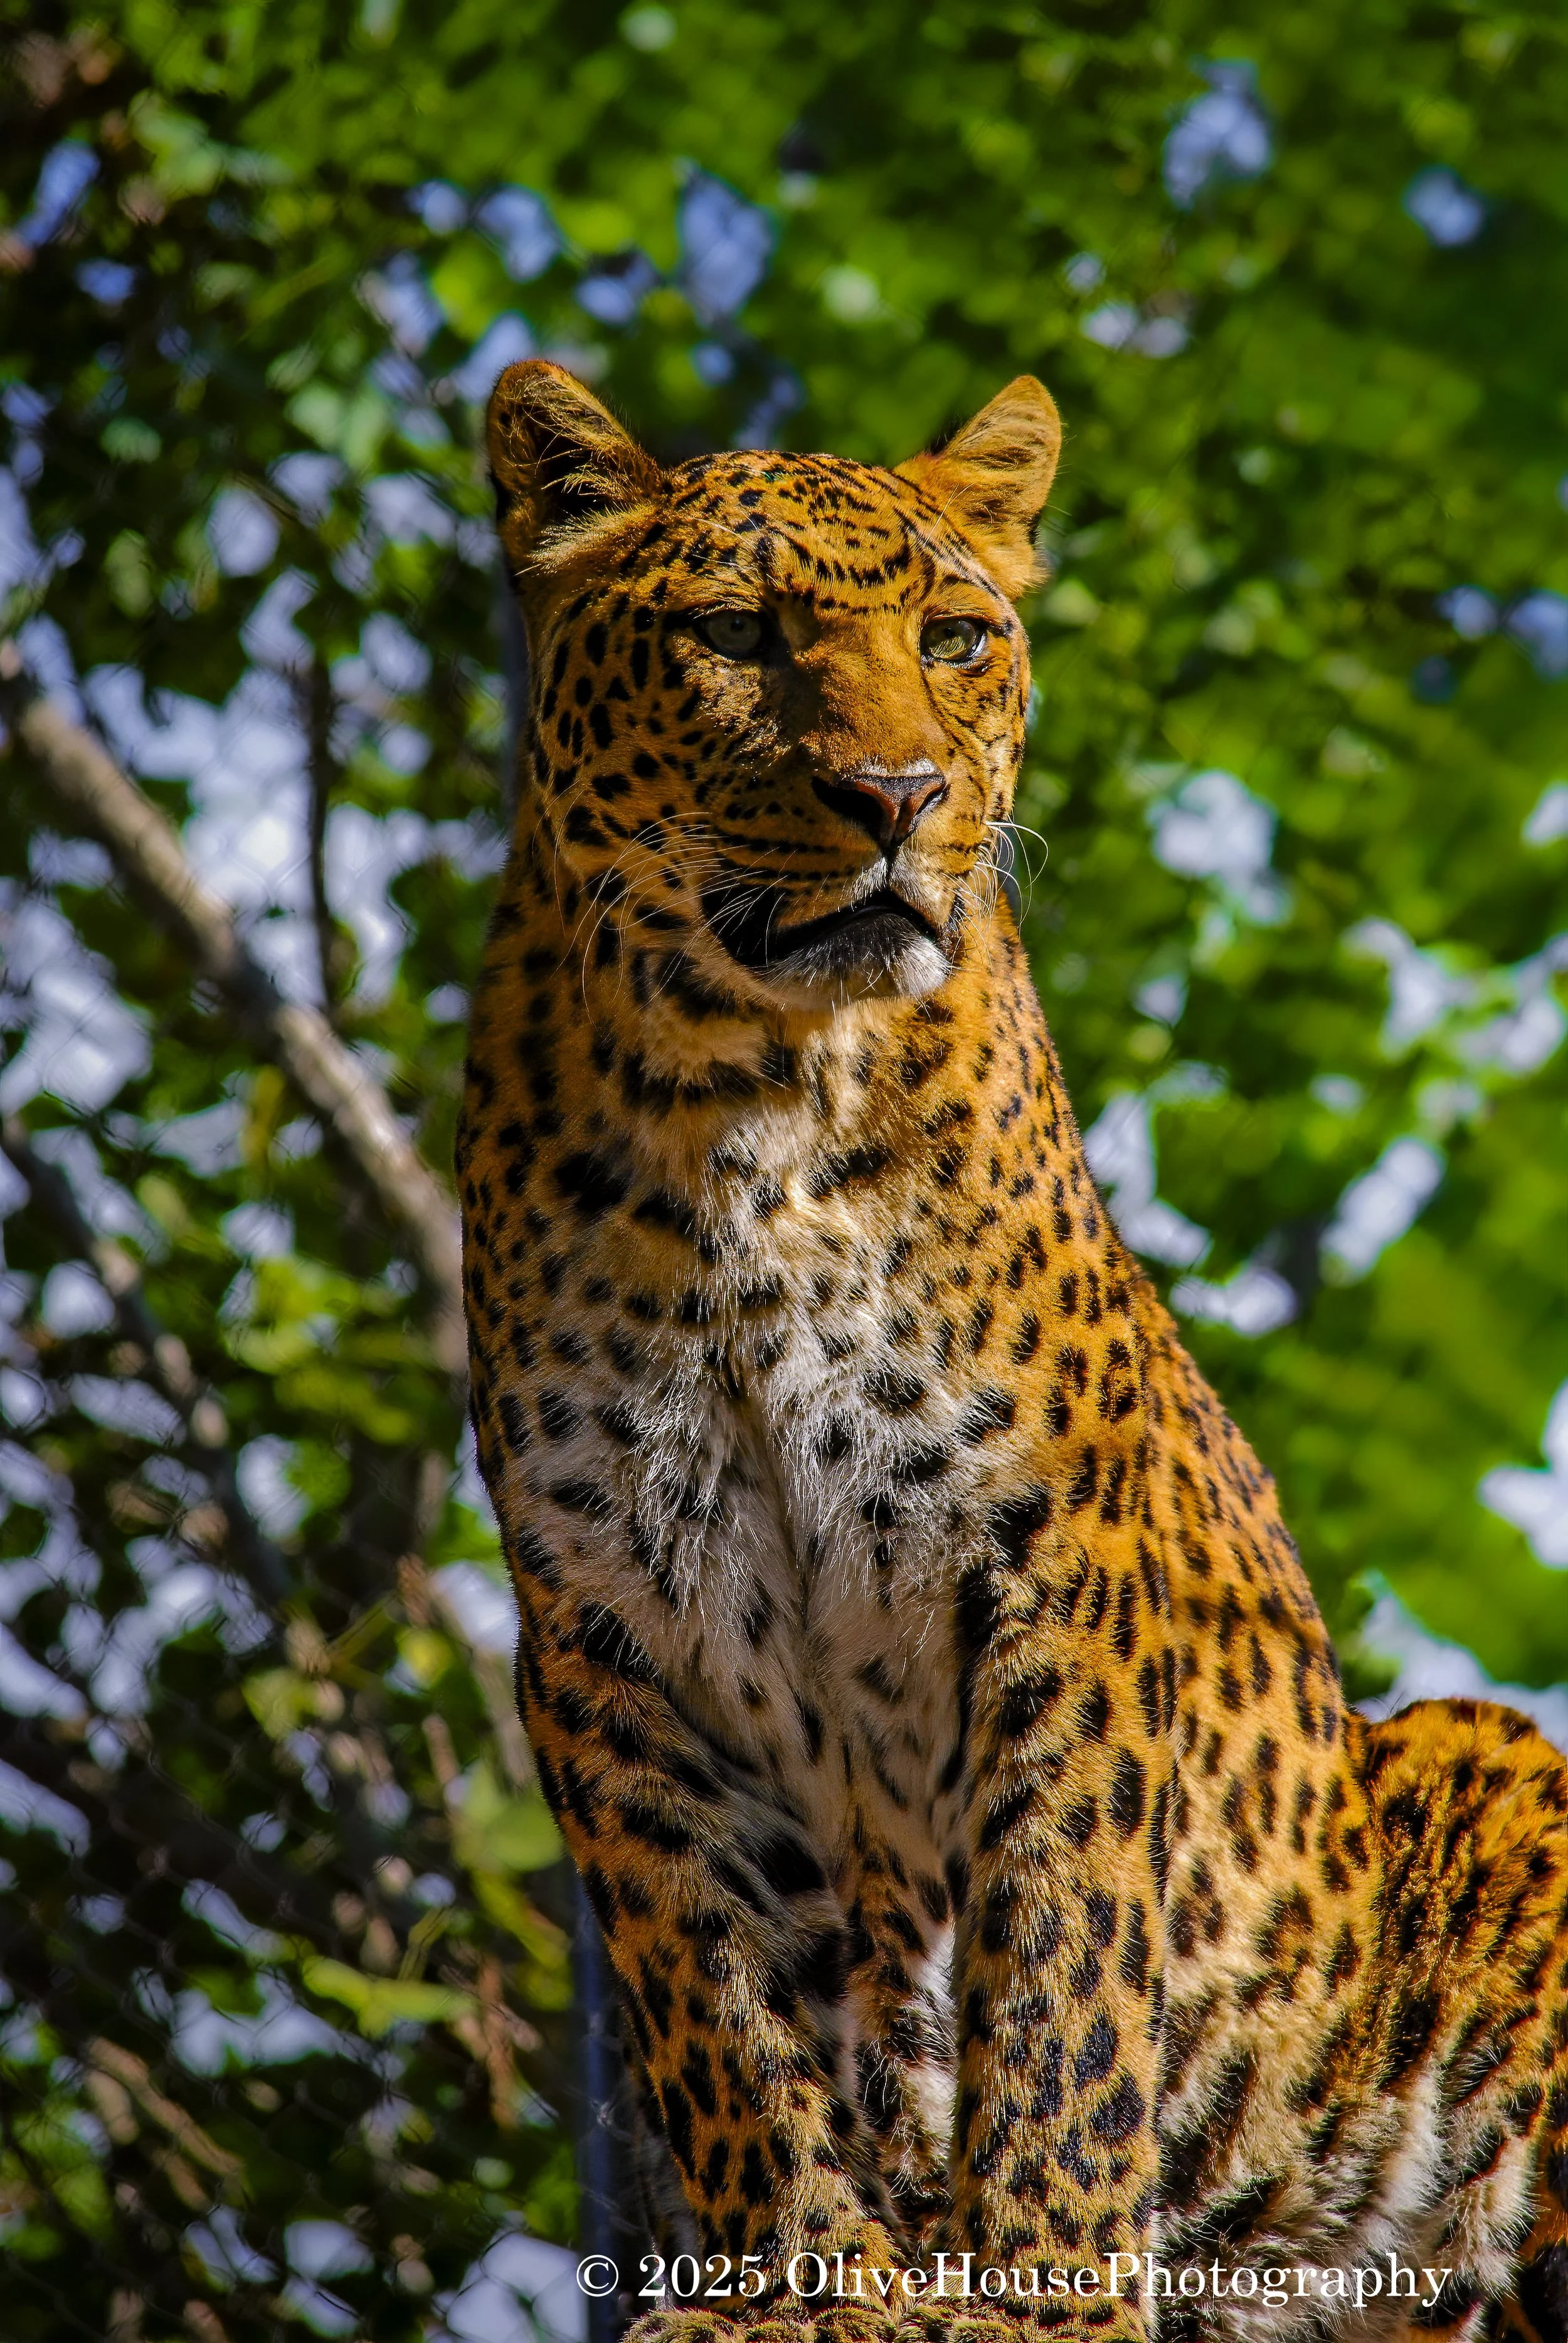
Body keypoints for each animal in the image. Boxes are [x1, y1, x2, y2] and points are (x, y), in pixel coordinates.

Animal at [456, 357, 1568, 2343]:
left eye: (954, 637)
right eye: (735, 636)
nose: (892, 794)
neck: (749, 1095)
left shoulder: (1061, 1560)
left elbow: (1067, 1957)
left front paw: (1034, 2282)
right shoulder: (609, 1618)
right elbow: (726, 1996)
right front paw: (806, 2277)